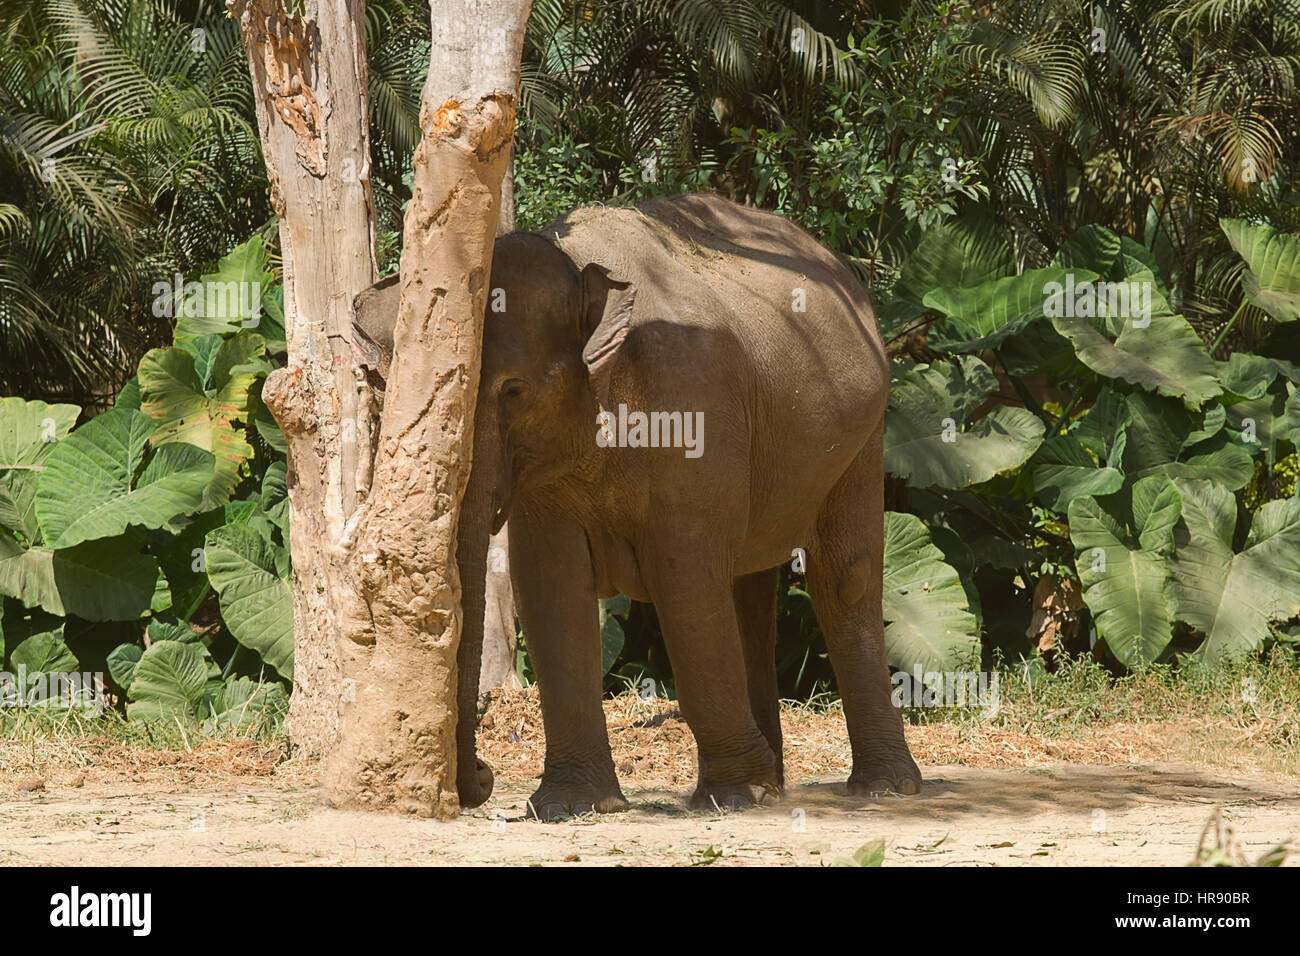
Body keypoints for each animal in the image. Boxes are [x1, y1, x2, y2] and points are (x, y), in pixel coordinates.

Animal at [353, 191, 925, 816]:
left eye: (515, 391)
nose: (480, 778)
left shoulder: (694, 413)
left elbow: (685, 579)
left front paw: (730, 796)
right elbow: (550, 582)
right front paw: (572, 806)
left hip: (864, 434)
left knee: (842, 578)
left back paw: (880, 786)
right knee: (749, 589)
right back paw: (773, 785)